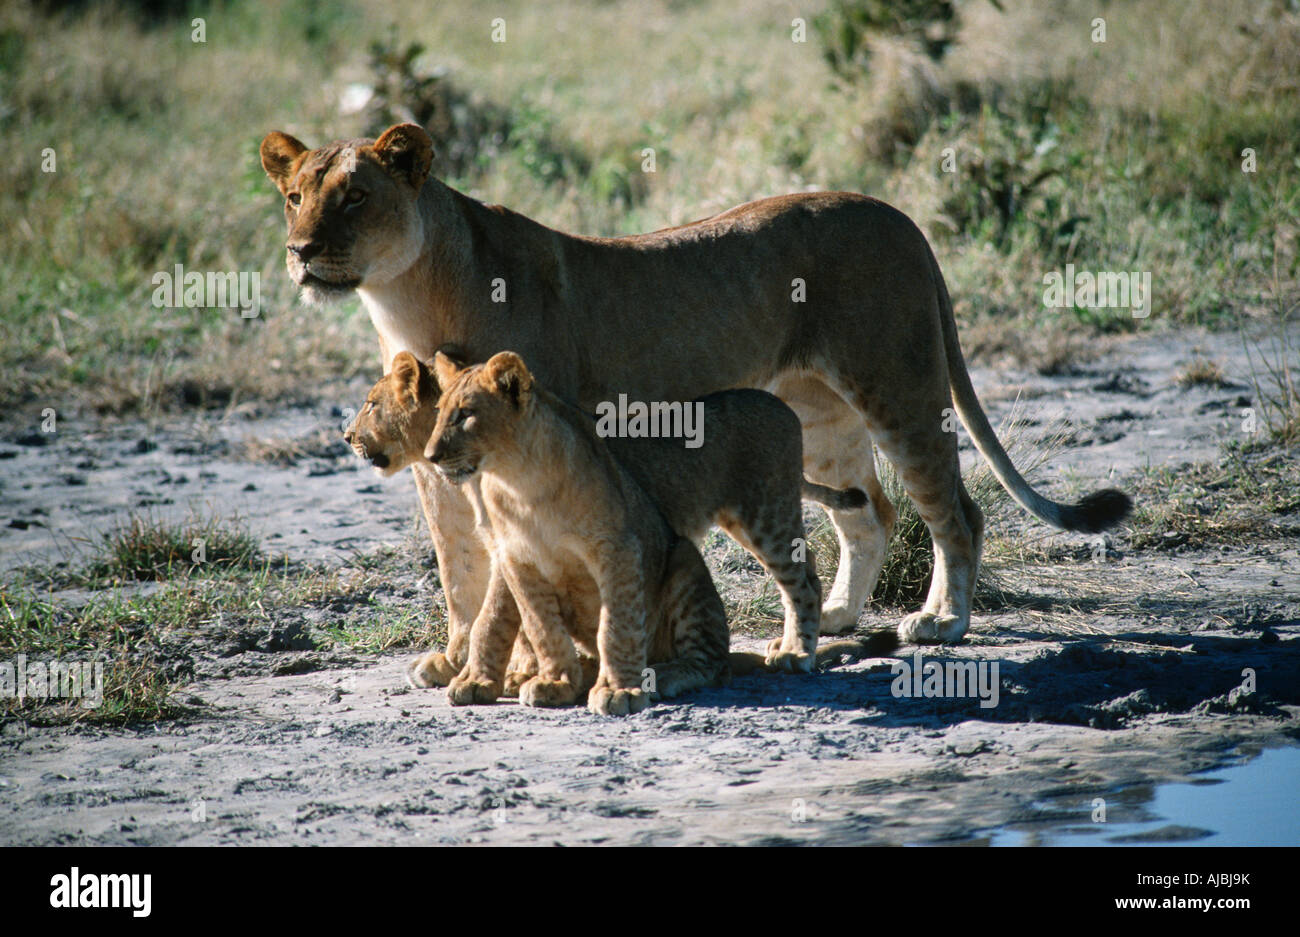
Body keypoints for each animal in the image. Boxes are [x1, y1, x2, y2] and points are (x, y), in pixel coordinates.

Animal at [345, 350, 889, 675]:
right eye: (440, 416)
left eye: (371, 404)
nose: (347, 436)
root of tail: (784, 408)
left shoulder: (509, 547)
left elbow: (491, 615)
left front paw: (473, 668)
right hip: (754, 517)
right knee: (802, 572)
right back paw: (789, 644)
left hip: (765, 514)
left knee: (803, 582)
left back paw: (798, 654)